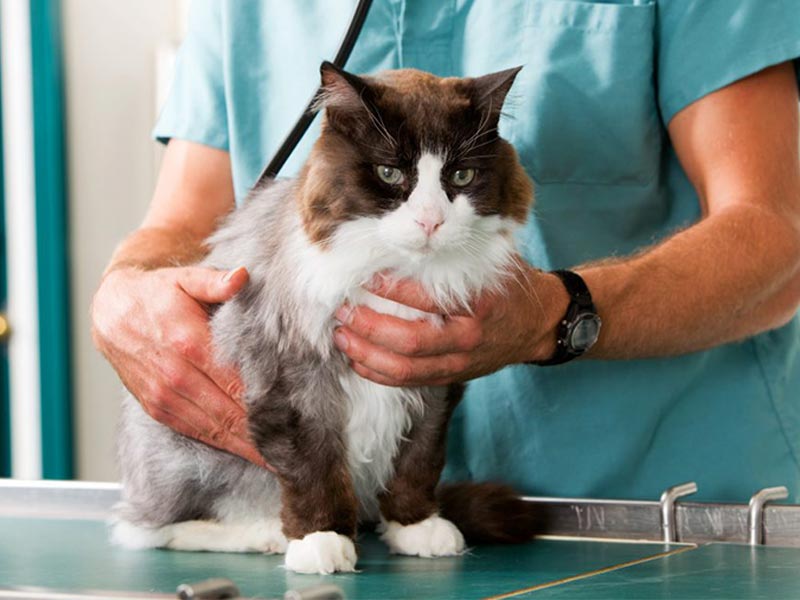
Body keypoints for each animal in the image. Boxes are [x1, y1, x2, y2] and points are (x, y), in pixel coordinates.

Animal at [111, 62, 536, 576]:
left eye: (461, 175)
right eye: (389, 173)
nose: (430, 221)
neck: (396, 272)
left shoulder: (434, 382)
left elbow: (418, 461)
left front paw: (414, 525)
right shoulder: (294, 384)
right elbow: (314, 470)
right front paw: (321, 540)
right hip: (188, 458)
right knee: (149, 529)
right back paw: (265, 534)